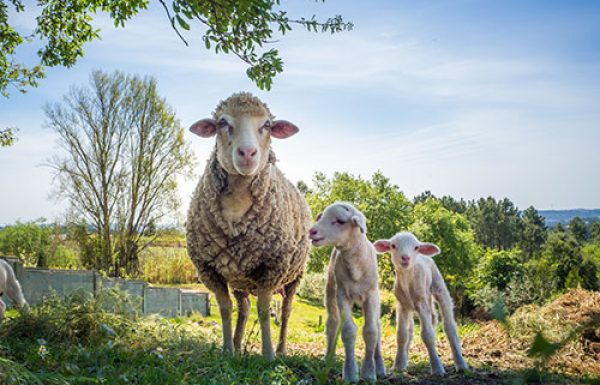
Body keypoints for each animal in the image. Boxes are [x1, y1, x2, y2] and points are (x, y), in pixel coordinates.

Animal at [188, 91, 312, 358]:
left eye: (267, 125)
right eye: (222, 122)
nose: (247, 152)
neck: (237, 204)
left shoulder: (272, 267)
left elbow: (265, 311)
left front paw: (268, 355)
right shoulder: (209, 269)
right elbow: (225, 309)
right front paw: (226, 351)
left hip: (294, 276)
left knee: (286, 311)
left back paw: (282, 348)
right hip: (239, 275)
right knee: (243, 307)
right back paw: (236, 345)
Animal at [308, 201, 386, 380]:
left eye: (340, 221)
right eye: (321, 217)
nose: (312, 231)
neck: (356, 267)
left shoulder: (371, 296)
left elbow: (371, 332)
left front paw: (369, 372)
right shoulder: (342, 294)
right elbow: (348, 331)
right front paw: (350, 372)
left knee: (378, 327)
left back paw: (380, 367)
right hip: (331, 289)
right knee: (332, 322)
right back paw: (328, 357)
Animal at [376, 231, 468, 376]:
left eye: (416, 247)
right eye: (393, 246)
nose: (405, 258)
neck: (408, 280)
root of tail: (425, 256)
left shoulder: (422, 303)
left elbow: (427, 335)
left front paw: (437, 368)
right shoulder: (402, 305)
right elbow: (402, 335)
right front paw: (398, 366)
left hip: (438, 285)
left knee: (450, 327)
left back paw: (461, 364)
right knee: (414, 329)